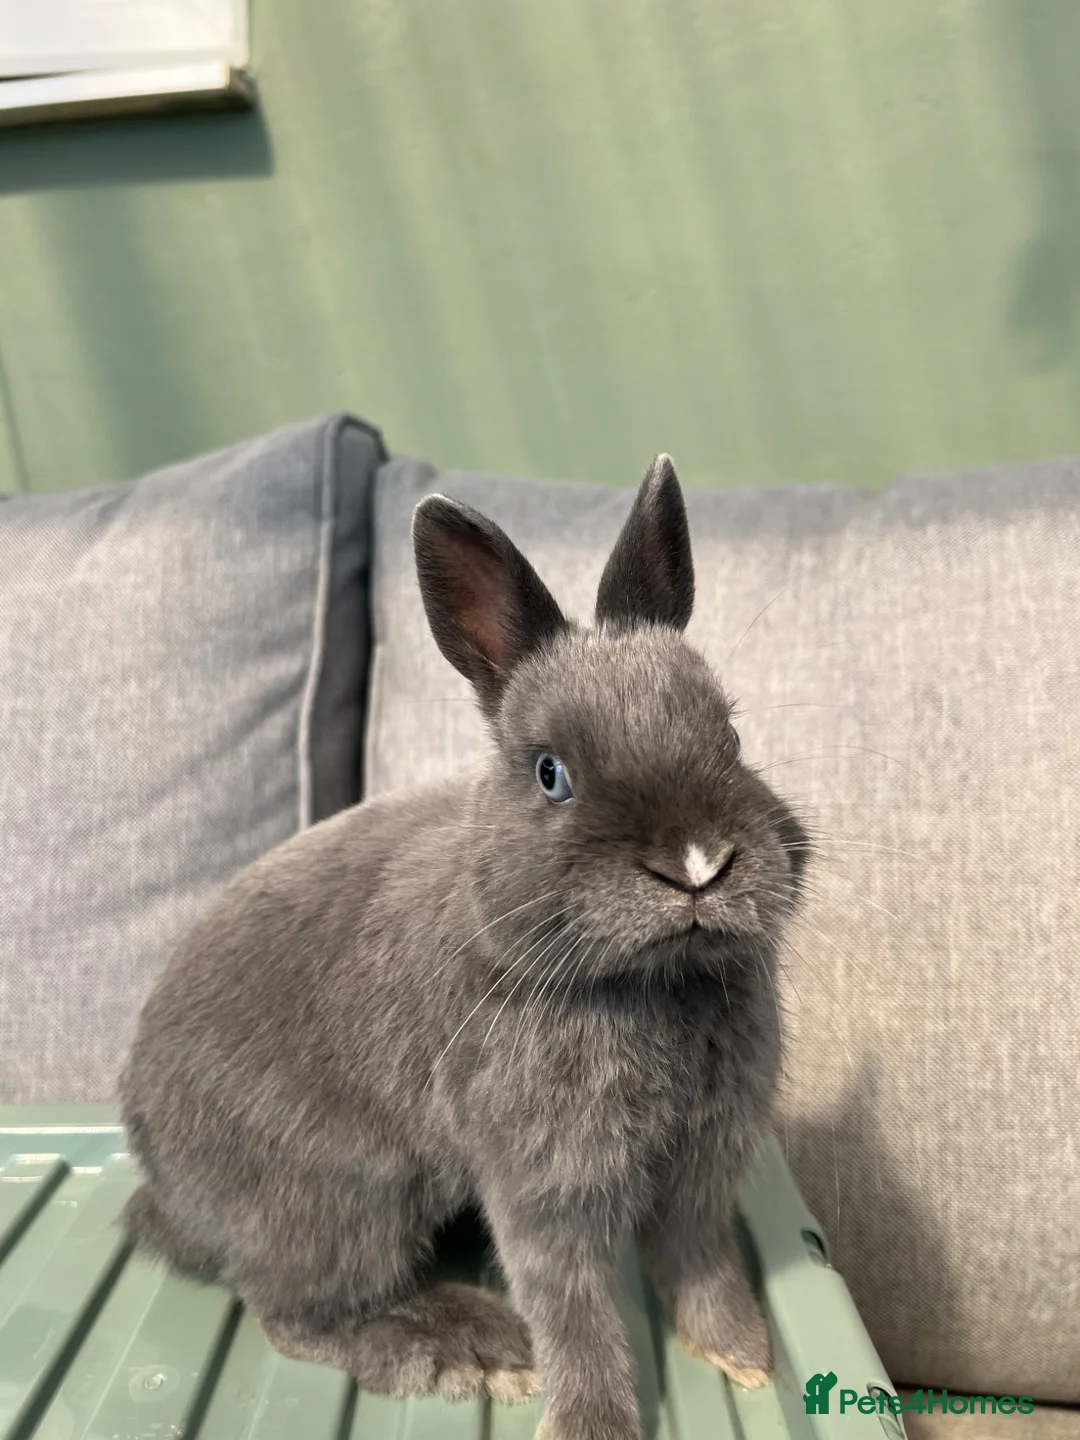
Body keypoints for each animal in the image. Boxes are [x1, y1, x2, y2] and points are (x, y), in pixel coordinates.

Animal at [119, 454, 810, 1440]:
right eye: (551, 774)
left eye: (732, 735)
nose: (696, 864)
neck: (651, 981)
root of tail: (162, 1190)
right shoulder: (544, 1181)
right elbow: (574, 1311)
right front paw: (593, 1424)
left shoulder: (703, 1168)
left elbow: (699, 1259)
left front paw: (742, 1355)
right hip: (345, 1203)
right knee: (297, 1313)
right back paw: (465, 1344)